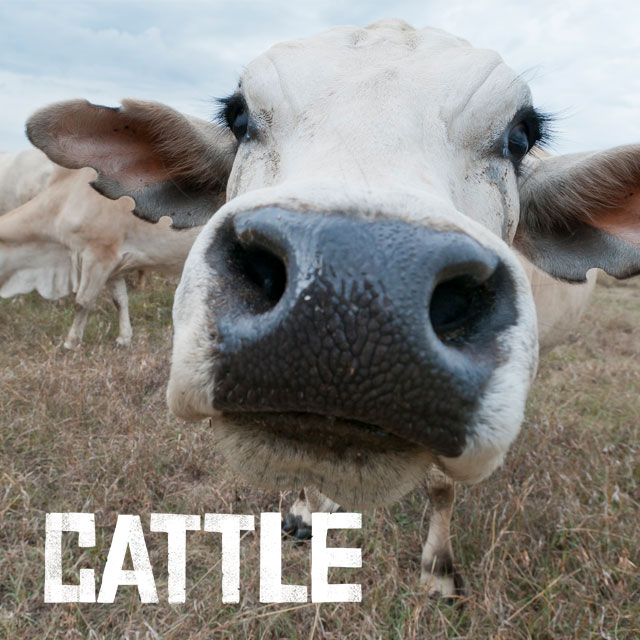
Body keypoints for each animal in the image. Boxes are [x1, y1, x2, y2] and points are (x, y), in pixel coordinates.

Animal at [24, 19, 639, 599]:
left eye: (520, 136)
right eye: (239, 117)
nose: (352, 295)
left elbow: (442, 485)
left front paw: (438, 570)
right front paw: (305, 509)